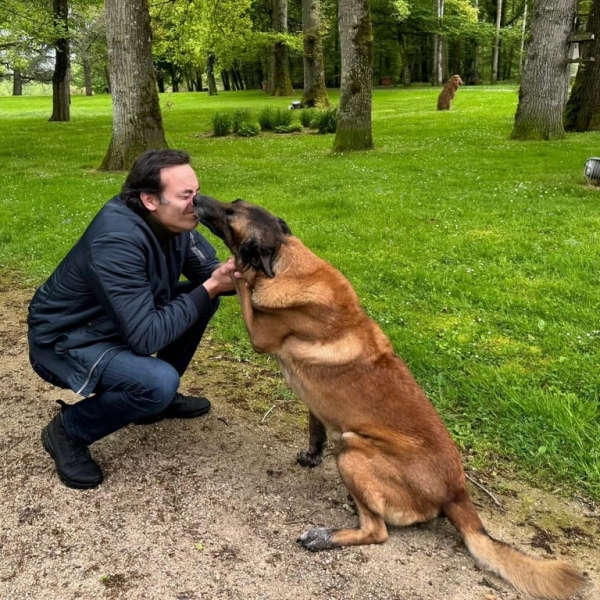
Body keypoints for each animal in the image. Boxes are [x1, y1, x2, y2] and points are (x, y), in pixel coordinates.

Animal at [196, 195, 584, 596]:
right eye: (234, 203)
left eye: (229, 214)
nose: (196, 198)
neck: (287, 261)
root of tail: (457, 493)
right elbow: (315, 428)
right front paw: (312, 455)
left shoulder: (259, 334)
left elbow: (241, 283)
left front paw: (232, 270)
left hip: (352, 448)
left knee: (377, 532)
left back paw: (325, 536)